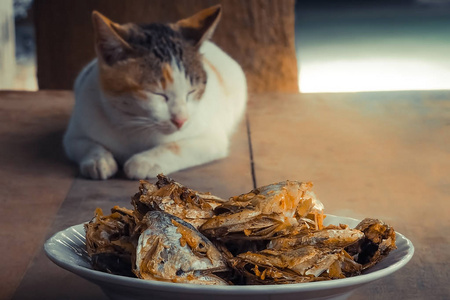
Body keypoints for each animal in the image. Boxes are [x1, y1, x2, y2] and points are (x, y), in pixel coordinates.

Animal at [62, 4, 246, 179]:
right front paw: (99, 160)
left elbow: (176, 146)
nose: (181, 120)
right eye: (157, 94)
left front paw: (144, 161)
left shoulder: (211, 139)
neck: (132, 123)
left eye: (191, 92)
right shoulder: (74, 133)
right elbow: (85, 144)